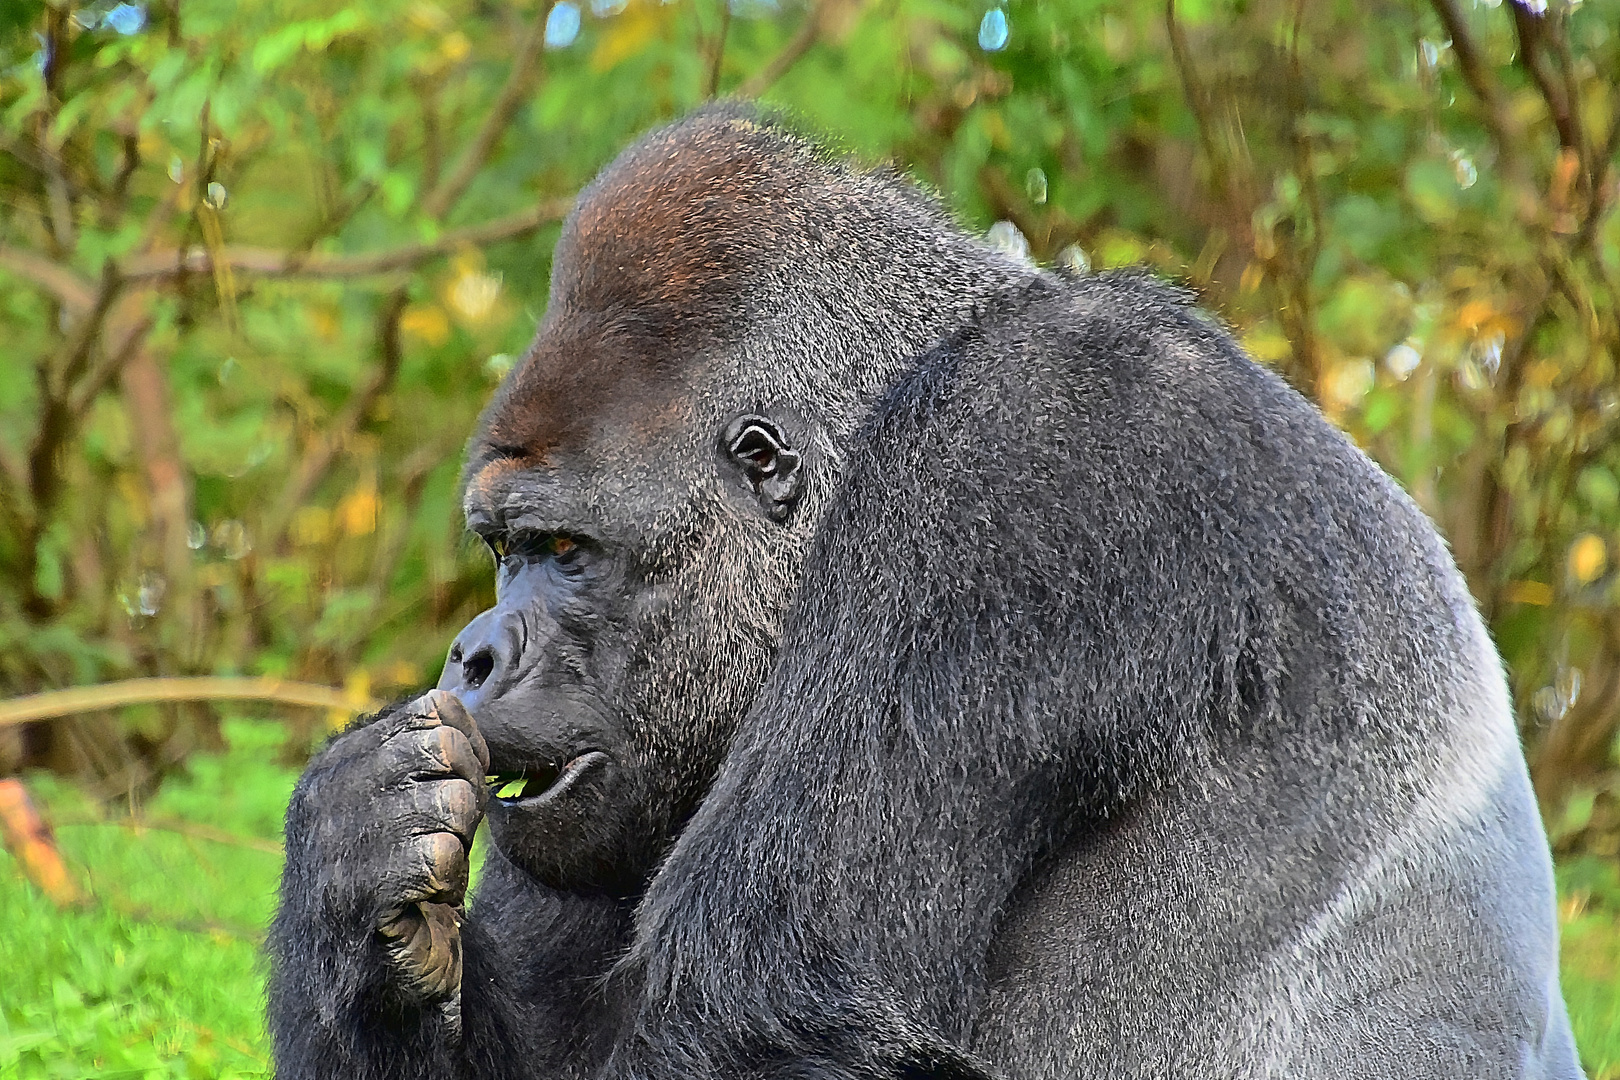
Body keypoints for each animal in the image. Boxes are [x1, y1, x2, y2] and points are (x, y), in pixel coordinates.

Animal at [268, 103, 1581, 1080]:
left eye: (567, 550)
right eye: (504, 550)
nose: (475, 653)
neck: (912, 375)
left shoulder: (1021, 456)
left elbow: (761, 1019)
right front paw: (355, 851)